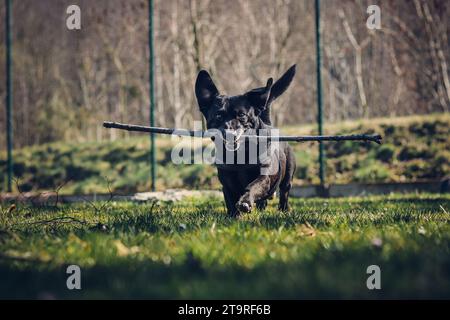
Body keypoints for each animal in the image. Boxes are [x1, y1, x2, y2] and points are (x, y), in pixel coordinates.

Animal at [195, 65, 298, 216]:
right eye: (218, 116)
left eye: (242, 115)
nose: (229, 132)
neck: (240, 155)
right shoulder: (227, 183)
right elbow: (230, 200)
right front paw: (234, 216)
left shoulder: (264, 177)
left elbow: (253, 186)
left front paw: (245, 202)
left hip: (288, 176)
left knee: (284, 192)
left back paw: (283, 210)